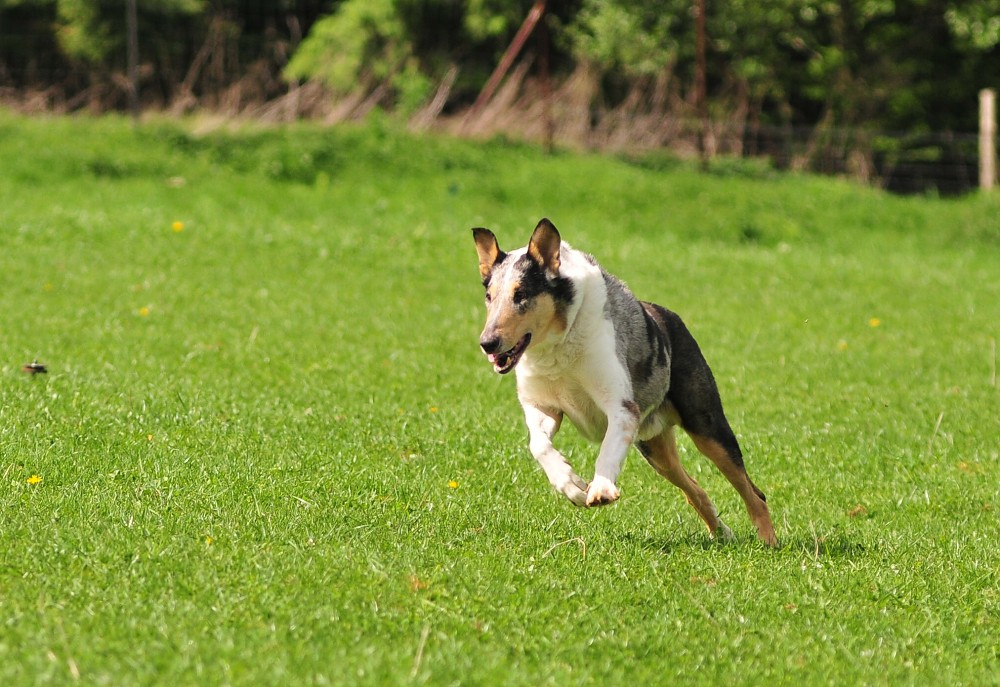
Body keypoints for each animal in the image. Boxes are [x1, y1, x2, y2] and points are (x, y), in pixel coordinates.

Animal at [472, 220, 776, 548]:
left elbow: (607, 449)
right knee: (695, 488)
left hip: (707, 427)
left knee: (753, 492)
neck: (556, 348)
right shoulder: (543, 406)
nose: (487, 343)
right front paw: (572, 486)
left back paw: (768, 541)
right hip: (655, 449)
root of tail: (670, 316)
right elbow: (538, 444)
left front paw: (600, 489)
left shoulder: (621, 407)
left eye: (522, 294)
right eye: (489, 296)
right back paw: (722, 533)